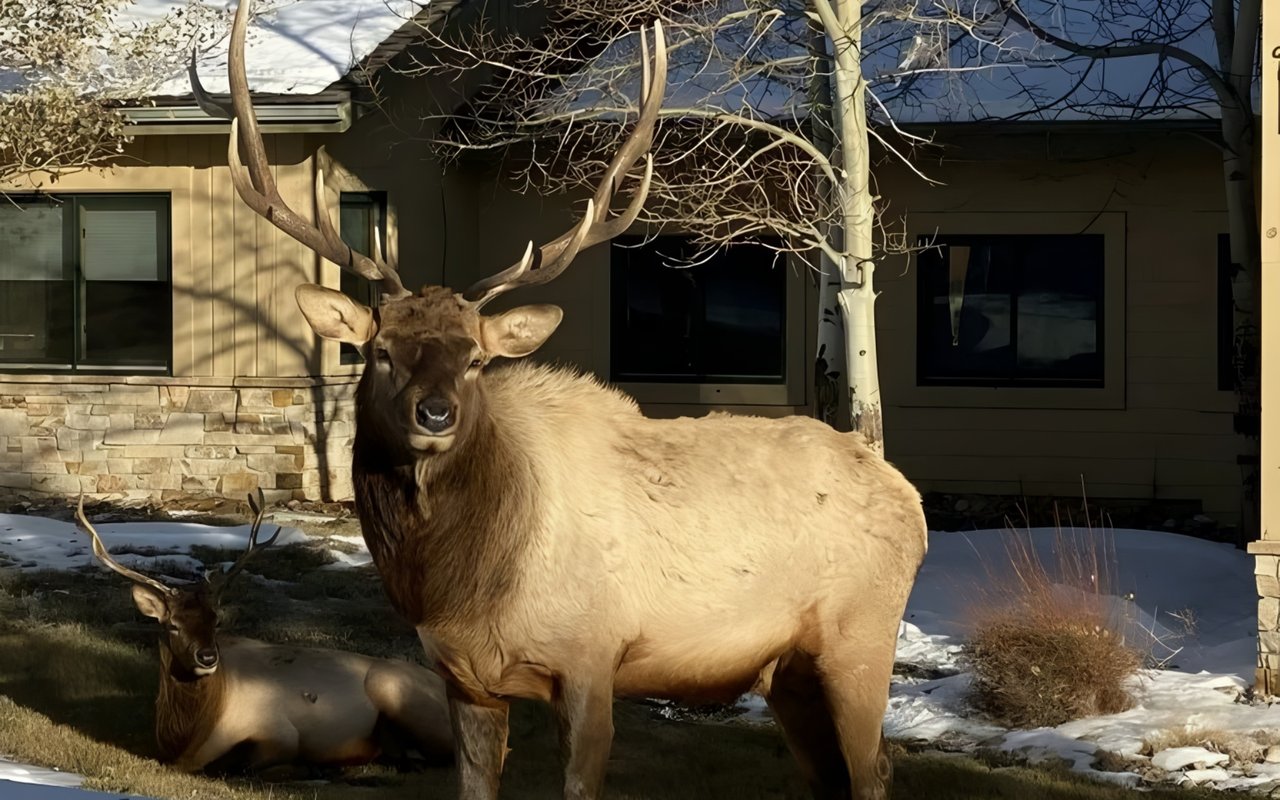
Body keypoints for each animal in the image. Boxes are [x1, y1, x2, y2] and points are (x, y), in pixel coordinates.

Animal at [74, 491, 454, 776]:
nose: (207, 657)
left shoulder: (280, 734)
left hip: (400, 695)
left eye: (216, 620)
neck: (187, 736)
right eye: (173, 624)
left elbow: (233, 765)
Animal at [191, 3, 927, 798]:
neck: (463, 588)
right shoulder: (463, 676)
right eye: (383, 350)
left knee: (875, 768)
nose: (435, 414)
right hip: (786, 669)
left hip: (860, 634)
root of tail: (909, 497)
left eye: (477, 360)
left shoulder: (592, 660)